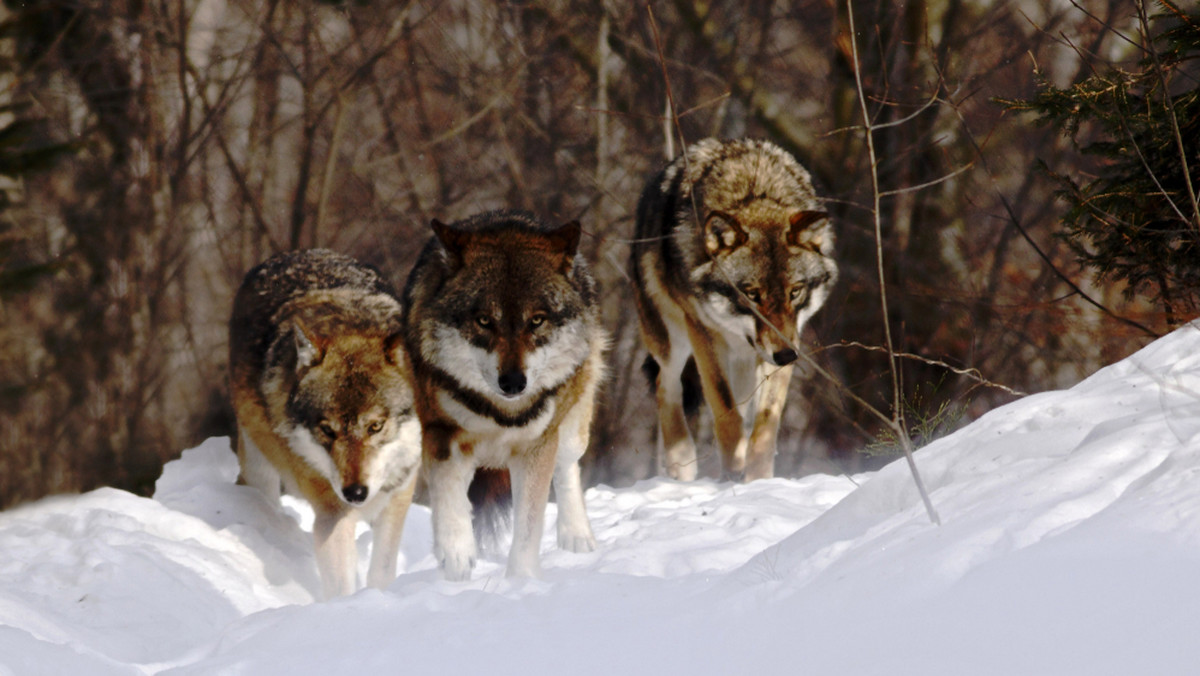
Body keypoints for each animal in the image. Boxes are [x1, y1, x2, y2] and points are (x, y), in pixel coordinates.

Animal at [229, 250, 422, 600]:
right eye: (327, 430)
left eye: (376, 426)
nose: (355, 493)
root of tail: (292, 254)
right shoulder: (333, 516)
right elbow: (341, 586)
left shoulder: (398, 497)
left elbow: (382, 571)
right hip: (259, 469)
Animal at [403, 210, 609, 581]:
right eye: (485, 321)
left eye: (537, 321)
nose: (513, 383)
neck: (500, 413)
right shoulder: (441, 435)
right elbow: (450, 500)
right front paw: (456, 557)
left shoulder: (536, 447)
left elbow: (528, 527)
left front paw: (521, 581)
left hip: (571, 430)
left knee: (568, 468)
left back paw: (576, 536)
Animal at [633, 137, 840, 485]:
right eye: (752, 294)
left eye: (795, 292)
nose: (787, 356)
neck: (752, 191)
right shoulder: (703, 332)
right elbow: (724, 410)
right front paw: (733, 467)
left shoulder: (790, 338)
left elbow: (766, 423)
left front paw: (757, 481)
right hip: (672, 342)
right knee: (666, 385)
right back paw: (682, 461)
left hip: (745, 362)